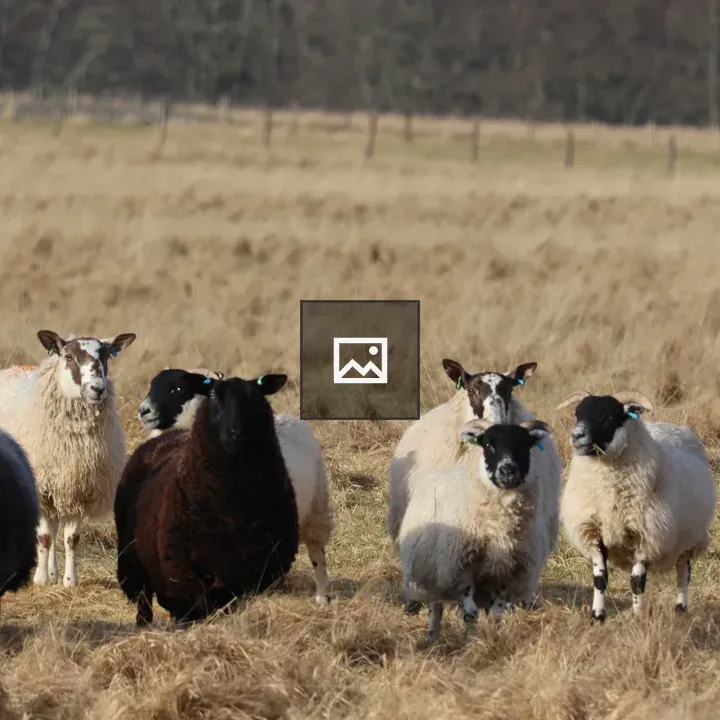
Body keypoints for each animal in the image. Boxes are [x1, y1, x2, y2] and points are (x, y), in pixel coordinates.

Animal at [0, 329, 136, 588]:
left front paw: (69, 581)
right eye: (69, 357)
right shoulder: (42, 487)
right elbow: (43, 537)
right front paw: (41, 579)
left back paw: (54, 571)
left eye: (106, 357)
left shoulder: (77, 487)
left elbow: (71, 538)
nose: (98, 388)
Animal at [115, 373, 301, 625]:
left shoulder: (262, 569)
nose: (236, 432)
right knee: (145, 599)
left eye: (256, 394)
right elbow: (194, 608)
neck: (233, 507)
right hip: (133, 562)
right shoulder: (186, 575)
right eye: (212, 395)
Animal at [137, 367, 334, 605]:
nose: (143, 411)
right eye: (151, 386)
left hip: (315, 508)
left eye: (178, 389)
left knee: (317, 551)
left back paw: (321, 597)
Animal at [397, 417, 555, 644]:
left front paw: (493, 638)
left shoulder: (504, 573)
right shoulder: (462, 568)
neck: (499, 527)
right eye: (488, 444)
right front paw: (472, 643)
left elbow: (497, 614)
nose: (507, 470)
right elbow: (469, 614)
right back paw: (432, 638)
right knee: (436, 606)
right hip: (435, 568)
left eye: (524, 445)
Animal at [555, 390, 716, 622]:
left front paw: (638, 617)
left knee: (683, 573)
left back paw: (681, 608)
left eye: (608, 416)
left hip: (690, 538)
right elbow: (600, 578)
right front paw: (597, 616)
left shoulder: (646, 535)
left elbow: (637, 582)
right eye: (578, 414)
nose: (576, 435)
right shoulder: (593, 533)